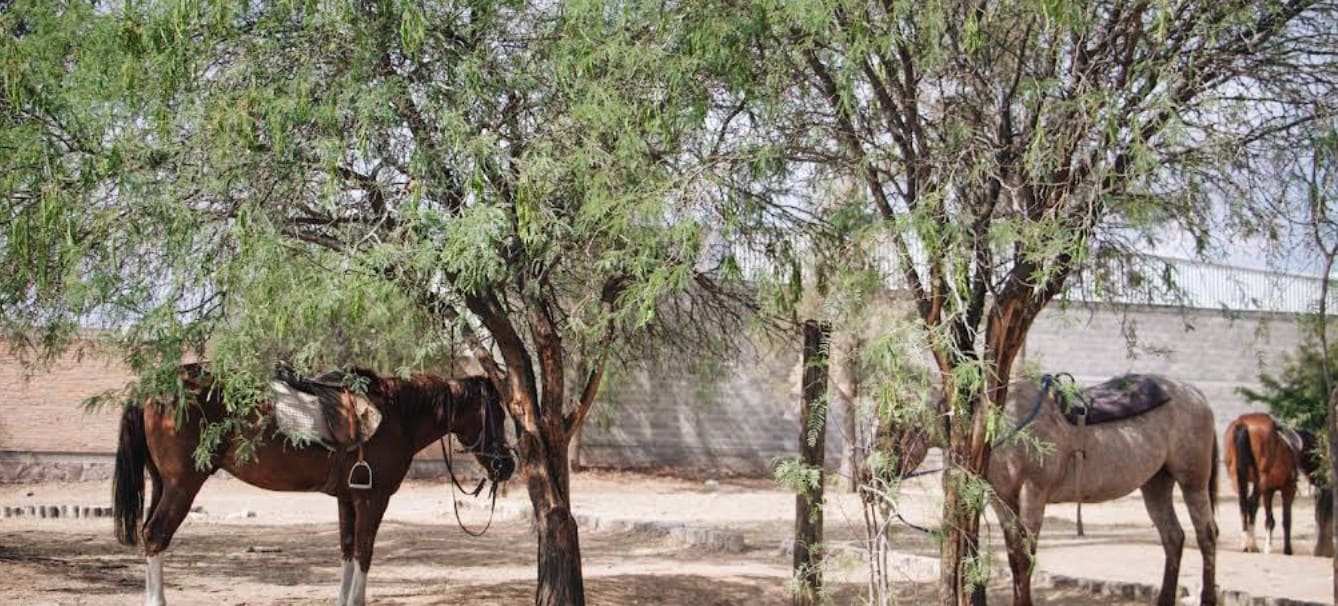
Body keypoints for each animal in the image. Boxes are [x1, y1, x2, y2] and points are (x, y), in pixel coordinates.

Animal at [111, 363, 515, 606]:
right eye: (497, 412)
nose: (507, 465)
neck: (398, 415)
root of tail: (155, 388)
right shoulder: (373, 500)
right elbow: (365, 552)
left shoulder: (348, 499)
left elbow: (348, 550)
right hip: (182, 485)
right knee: (156, 536)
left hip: (162, 483)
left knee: (150, 535)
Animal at [986, 375, 1219, 606]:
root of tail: (1195, 394)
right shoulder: (1001, 500)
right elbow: (1013, 557)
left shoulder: (1033, 492)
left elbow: (1025, 558)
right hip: (1156, 483)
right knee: (1173, 537)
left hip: (1193, 482)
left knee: (1206, 535)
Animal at [1224, 412, 1315, 555]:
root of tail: (1243, 423)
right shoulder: (1288, 489)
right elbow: (1286, 520)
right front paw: (1287, 549)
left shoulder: (1268, 491)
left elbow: (1269, 520)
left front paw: (1268, 547)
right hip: (1260, 480)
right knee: (1252, 504)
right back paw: (1251, 545)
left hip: (1239, 479)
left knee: (1244, 503)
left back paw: (1246, 543)